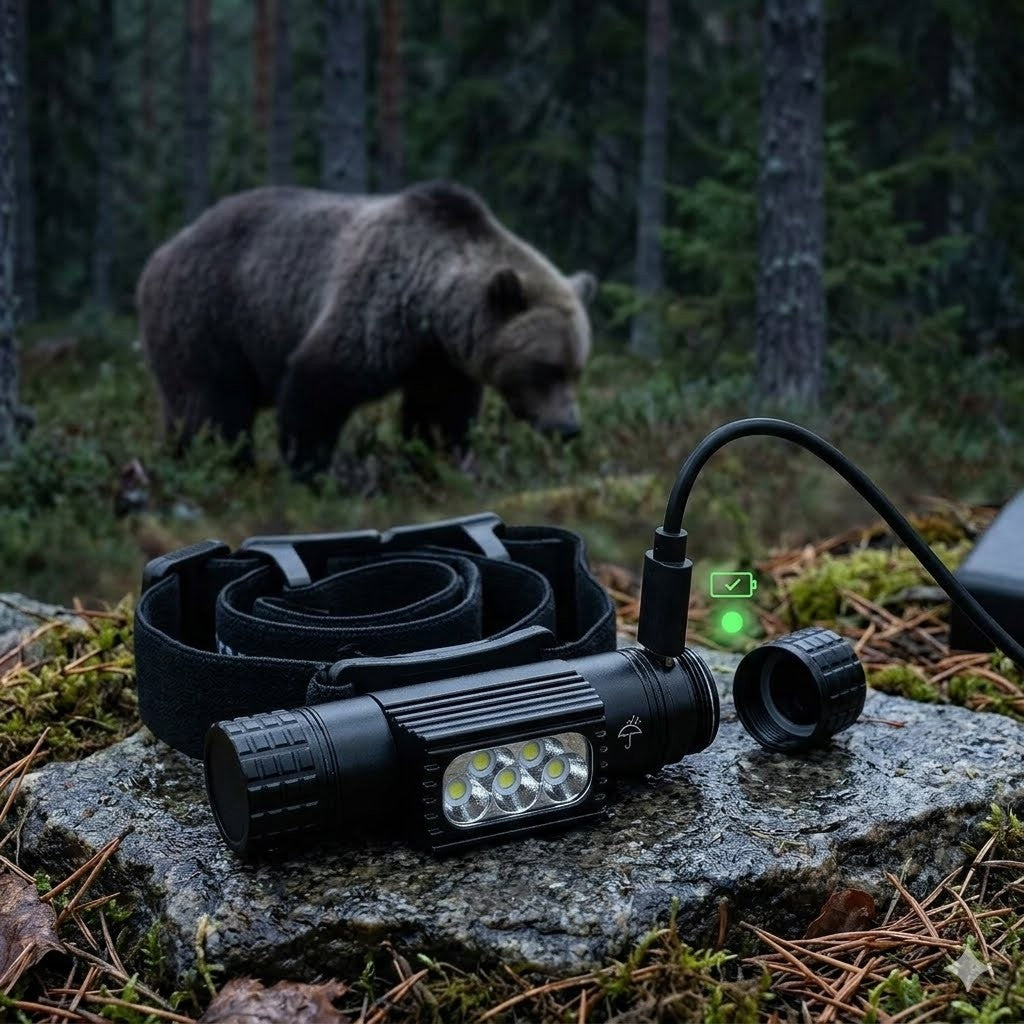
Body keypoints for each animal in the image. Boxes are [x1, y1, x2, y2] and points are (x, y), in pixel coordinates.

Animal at [135, 181, 597, 478]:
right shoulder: (376, 310)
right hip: (209, 315)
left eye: (577, 369)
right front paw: (310, 469)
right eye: (547, 368)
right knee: (213, 406)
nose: (569, 429)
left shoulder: (441, 360)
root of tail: (161, 251)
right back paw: (222, 464)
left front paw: (437, 462)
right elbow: (319, 383)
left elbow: (438, 414)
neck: (432, 308)